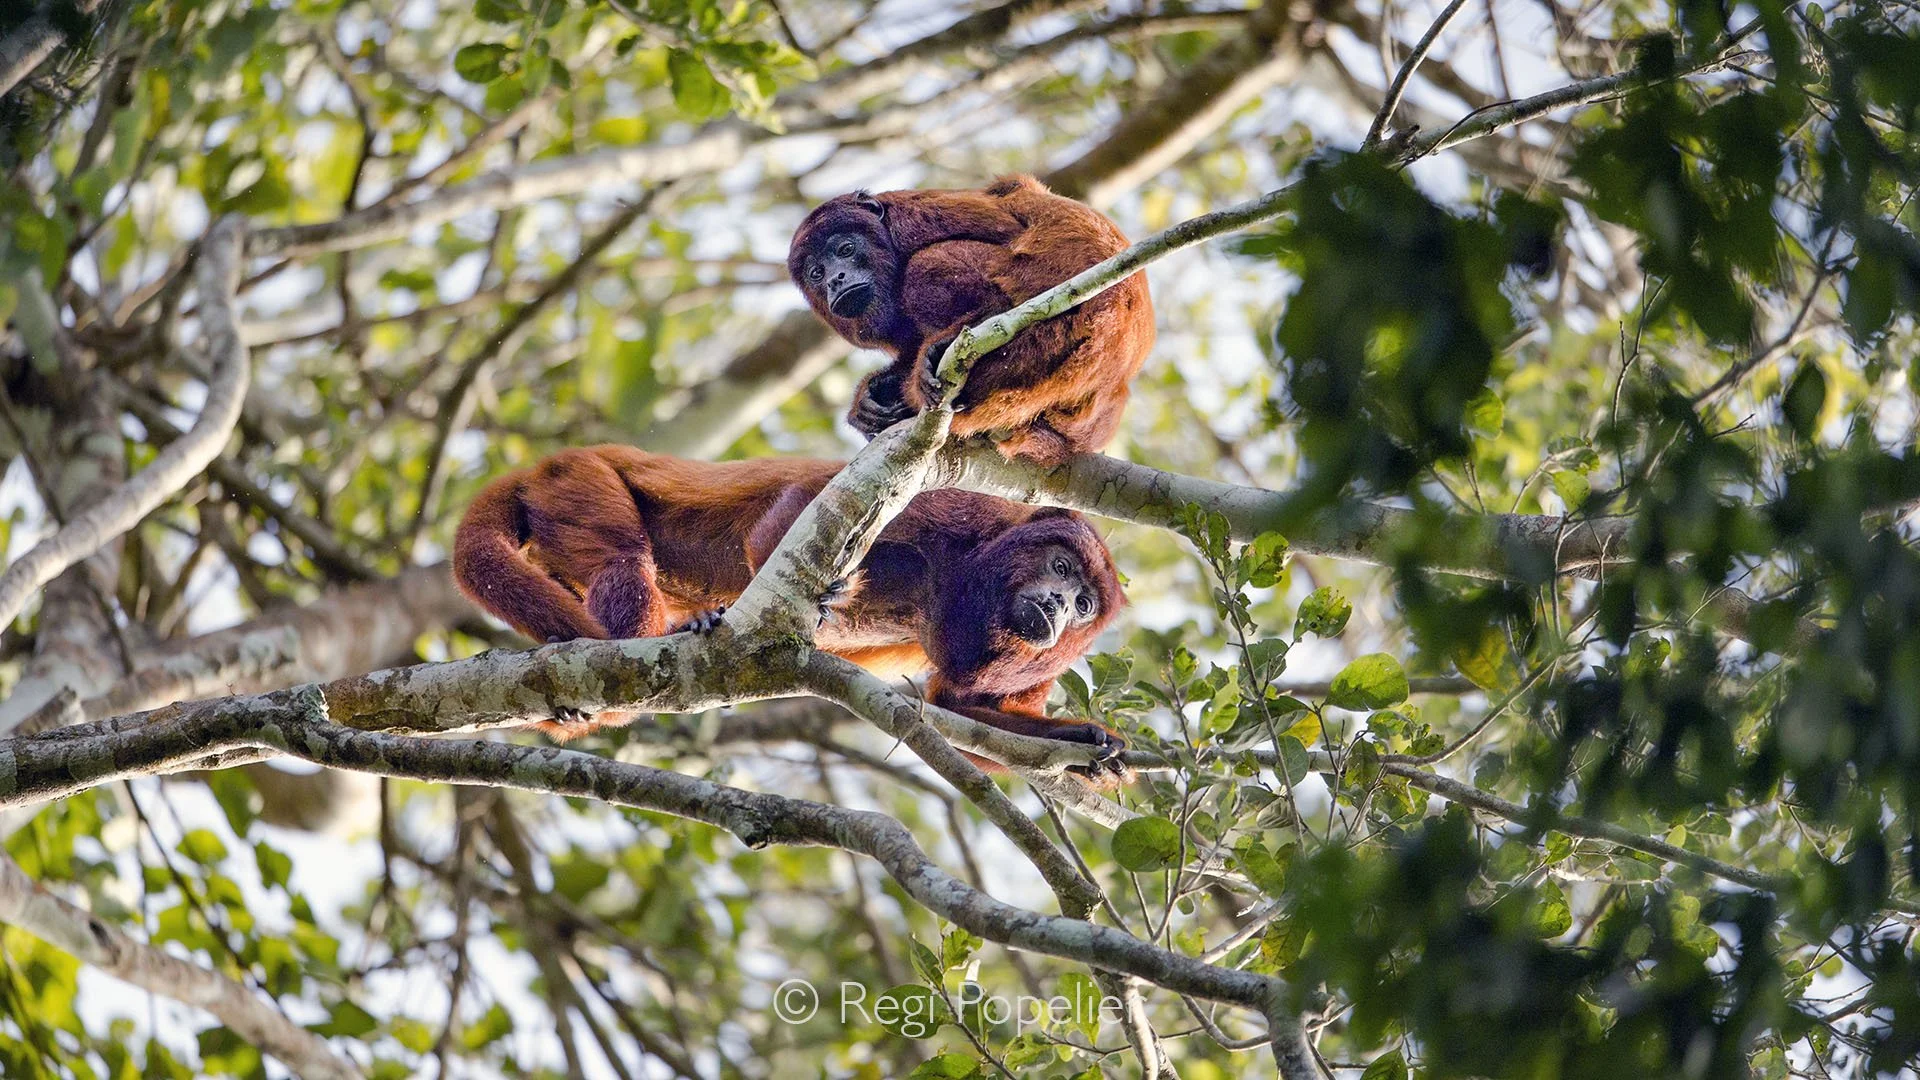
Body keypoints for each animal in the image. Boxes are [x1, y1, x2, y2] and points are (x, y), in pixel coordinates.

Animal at [452, 446, 1128, 775]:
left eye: (1084, 604)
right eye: (1061, 569)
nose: (1058, 607)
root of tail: (542, 465)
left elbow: (956, 709)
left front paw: (1084, 738)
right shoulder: (957, 508)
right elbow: (808, 501)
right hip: (578, 481)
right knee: (621, 556)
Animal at [788, 175, 1154, 465]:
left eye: (846, 249)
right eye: (816, 273)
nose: (836, 279)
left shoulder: (916, 216)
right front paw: (867, 399)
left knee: (924, 265)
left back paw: (976, 321)